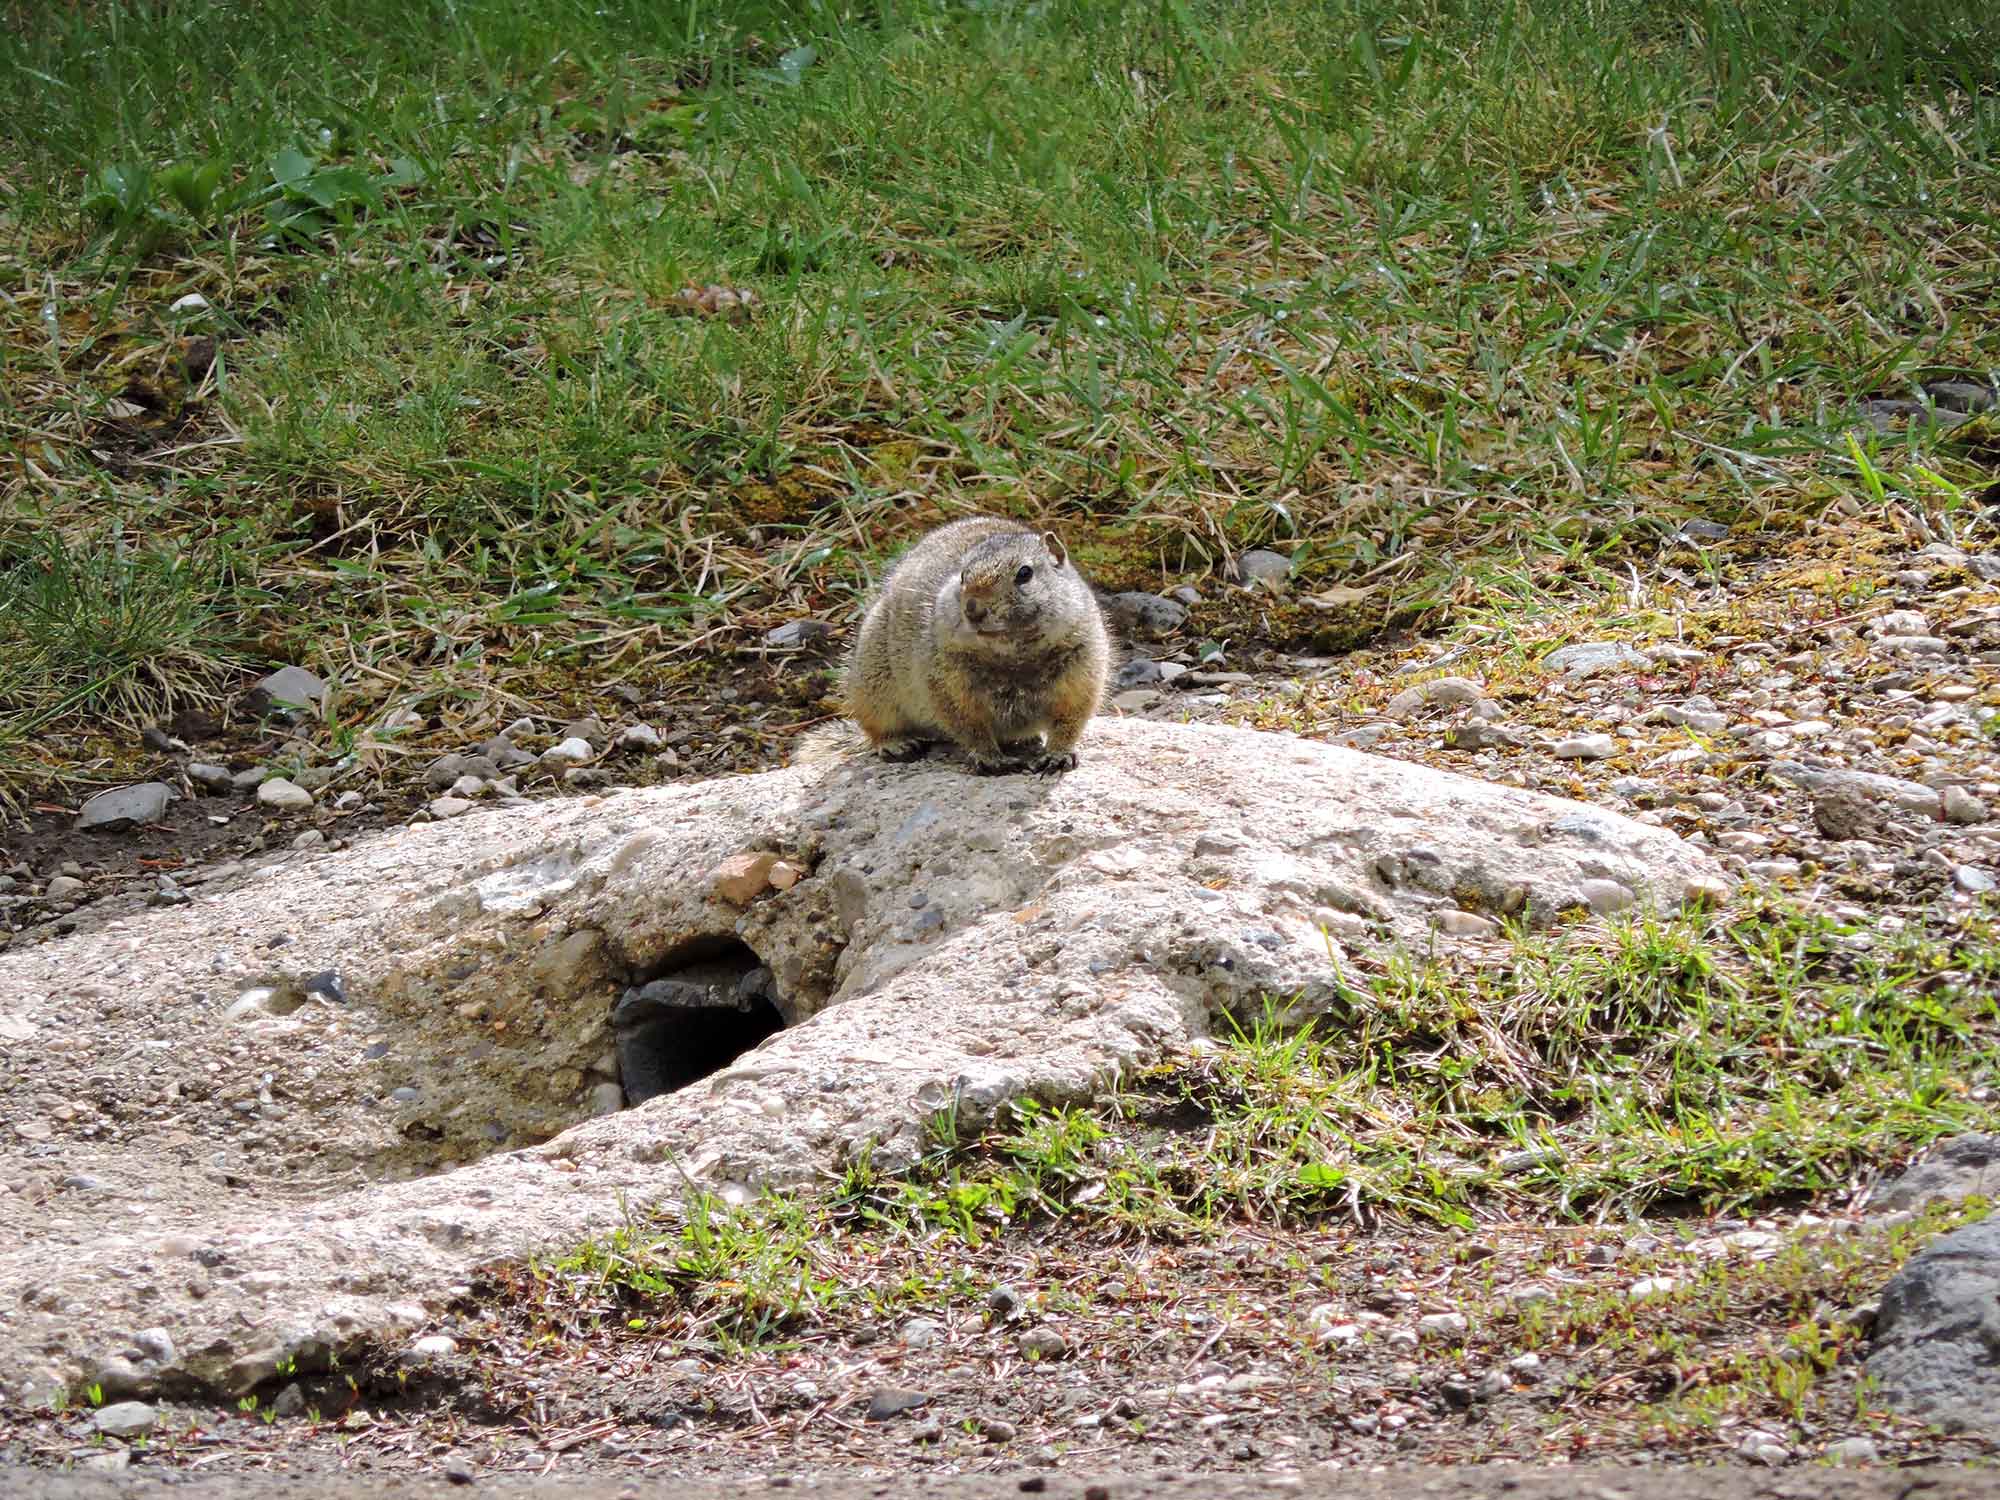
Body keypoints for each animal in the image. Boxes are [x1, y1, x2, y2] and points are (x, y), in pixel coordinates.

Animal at [803, 517, 1113, 774]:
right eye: (963, 576)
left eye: (1025, 573)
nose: (973, 609)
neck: (1014, 655)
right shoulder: (946, 682)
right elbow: (969, 726)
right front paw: (991, 759)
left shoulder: (1082, 672)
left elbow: (1071, 720)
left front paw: (1057, 755)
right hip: (872, 685)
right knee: (875, 726)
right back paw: (897, 745)